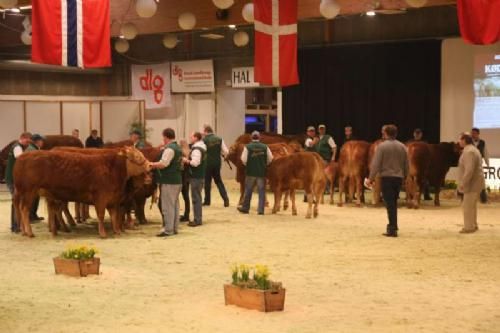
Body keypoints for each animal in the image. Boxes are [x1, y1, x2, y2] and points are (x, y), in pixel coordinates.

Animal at [13, 147, 150, 237]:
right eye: (137, 156)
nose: (149, 165)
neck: (111, 169)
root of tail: (22, 157)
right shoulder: (101, 197)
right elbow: (101, 215)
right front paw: (103, 233)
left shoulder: (113, 199)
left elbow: (114, 215)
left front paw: (117, 231)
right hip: (29, 191)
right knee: (25, 209)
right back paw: (30, 232)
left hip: (31, 192)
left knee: (26, 208)